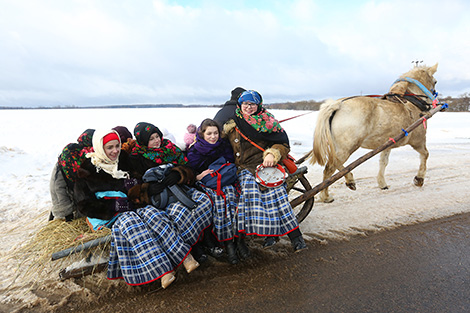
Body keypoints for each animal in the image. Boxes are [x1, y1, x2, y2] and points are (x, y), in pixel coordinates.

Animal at [306, 62, 438, 202]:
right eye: (435, 81)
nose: (433, 102)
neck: (412, 103)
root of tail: (337, 104)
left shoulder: (388, 143)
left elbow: (383, 163)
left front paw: (382, 183)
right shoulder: (418, 141)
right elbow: (425, 155)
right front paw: (419, 179)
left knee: (335, 164)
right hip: (348, 147)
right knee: (330, 167)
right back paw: (328, 194)